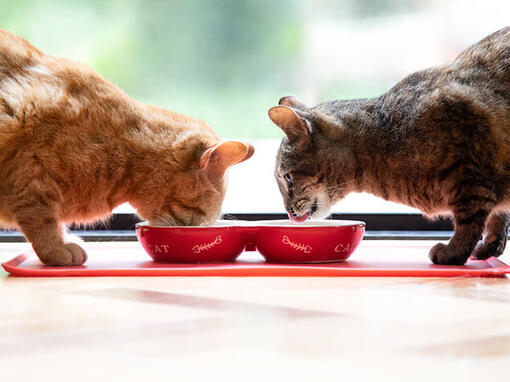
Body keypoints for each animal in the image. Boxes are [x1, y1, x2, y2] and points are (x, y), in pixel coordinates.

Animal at [0, 29, 254, 266]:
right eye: (197, 216)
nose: (196, 228)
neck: (124, 153)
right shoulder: (31, 178)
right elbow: (42, 219)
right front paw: (57, 248)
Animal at [268, 27, 508, 266]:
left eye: (288, 178)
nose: (288, 211)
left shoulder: (470, 178)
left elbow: (469, 222)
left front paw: (454, 251)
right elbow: (497, 218)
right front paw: (489, 245)